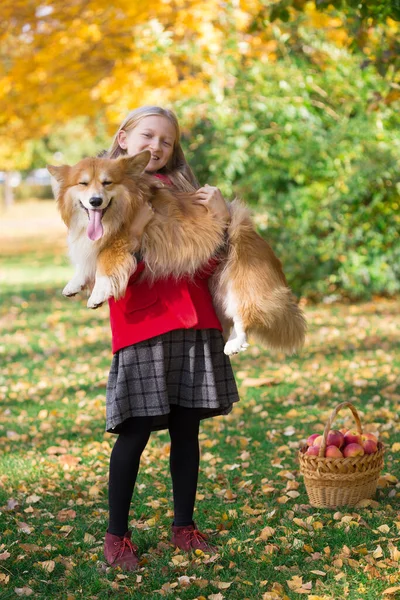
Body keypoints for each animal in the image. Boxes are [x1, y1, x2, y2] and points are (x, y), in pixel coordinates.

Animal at [48, 151, 308, 356]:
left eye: (107, 183)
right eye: (82, 184)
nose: (95, 201)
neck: (124, 207)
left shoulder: (122, 241)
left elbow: (104, 262)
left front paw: (97, 294)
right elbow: (86, 263)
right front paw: (74, 283)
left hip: (241, 279)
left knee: (245, 312)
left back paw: (236, 343)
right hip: (220, 289)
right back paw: (232, 342)